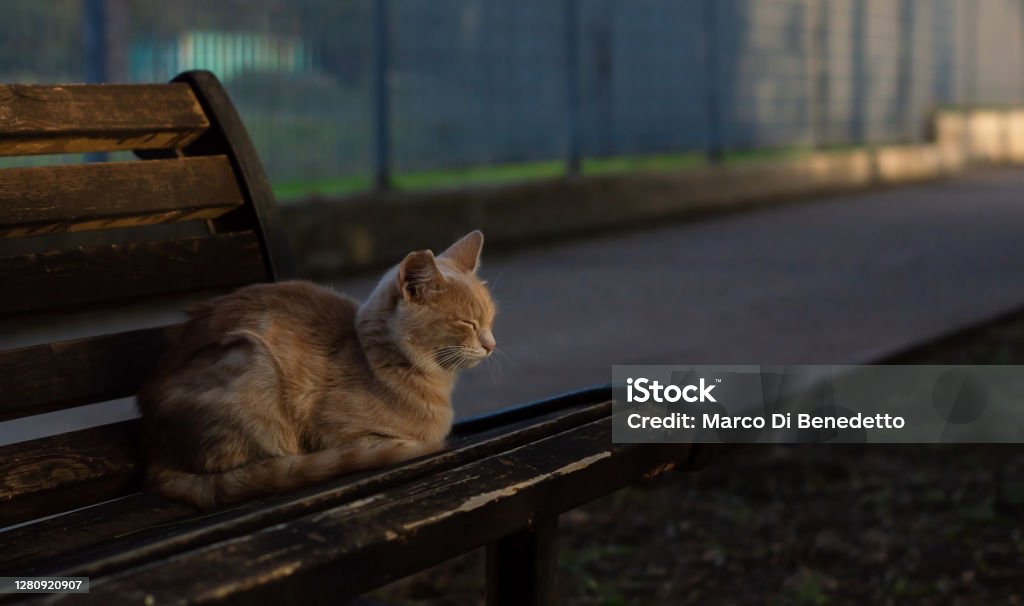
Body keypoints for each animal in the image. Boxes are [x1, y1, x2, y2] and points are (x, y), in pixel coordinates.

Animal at [138, 230, 497, 505]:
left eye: (490, 319)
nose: (491, 344)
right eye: (466, 322)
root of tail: (155, 445)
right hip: (252, 366)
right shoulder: (337, 434)